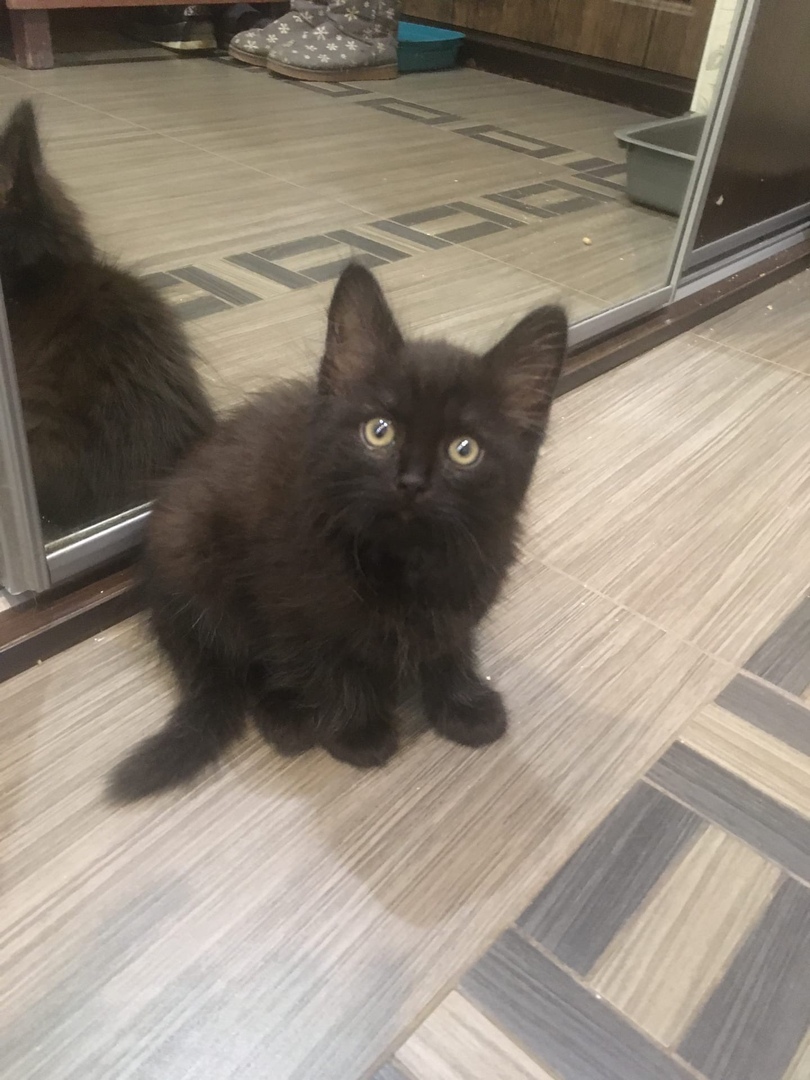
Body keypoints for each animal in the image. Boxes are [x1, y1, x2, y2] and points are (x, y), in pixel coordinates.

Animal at [108, 262, 568, 802]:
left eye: (464, 449)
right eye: (379, 431)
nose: (412, 482)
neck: (406, 563)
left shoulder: (467, 581)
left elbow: (450, 644)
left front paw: (462, 703)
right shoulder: (296, 602)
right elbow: (331, 665)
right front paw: (358, 731)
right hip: (197, 561)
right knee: (243, 662)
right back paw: (287, 718)